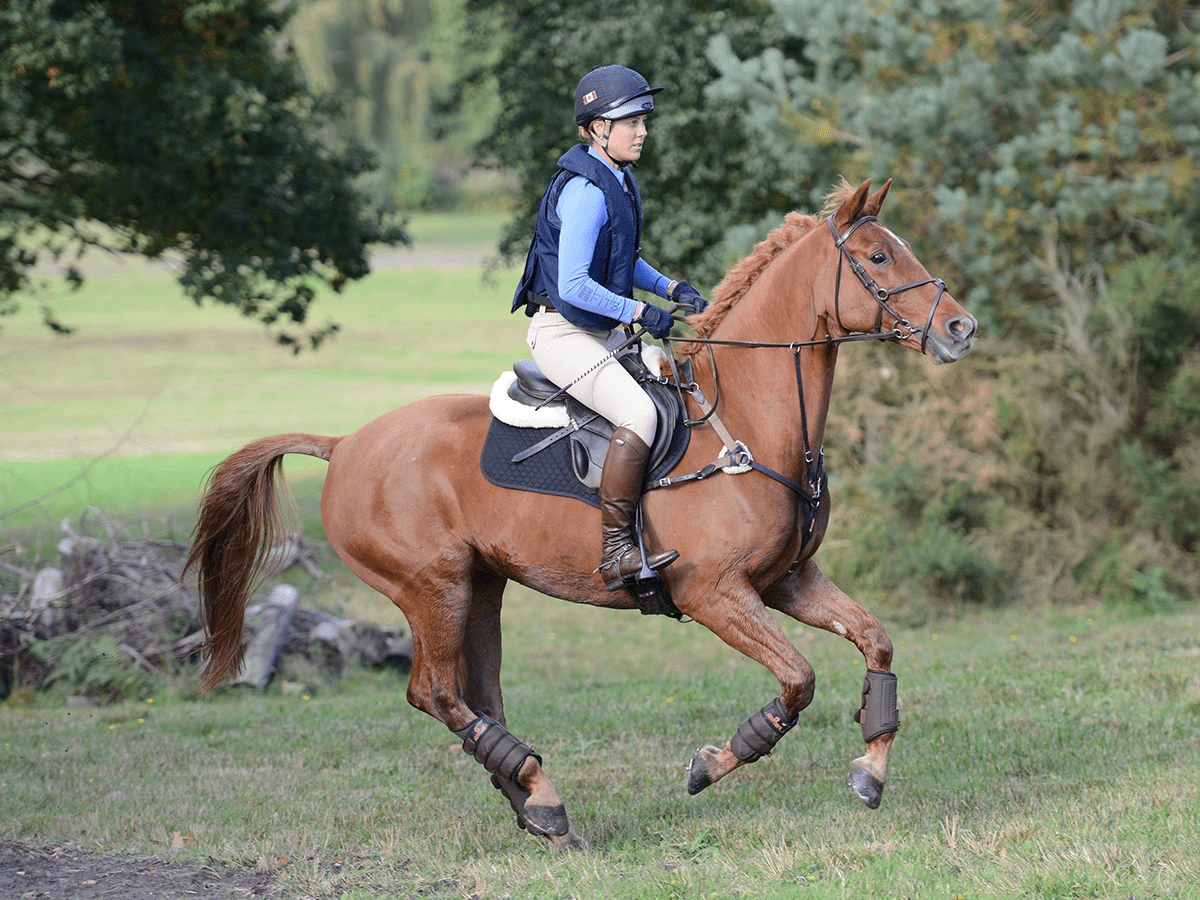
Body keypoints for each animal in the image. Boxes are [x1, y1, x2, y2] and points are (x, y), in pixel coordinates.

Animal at [185, 179, 977, 851]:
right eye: (878, 256)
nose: (962, 329)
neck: (751, 415)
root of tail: (345, 444)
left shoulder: (788, 581)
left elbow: (876, 643)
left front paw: (870, 770)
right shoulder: (715, 593)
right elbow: (798, 679)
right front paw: (713, 763)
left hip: (481, 588)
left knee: (479, 697)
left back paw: (535, 806)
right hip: (431, 587)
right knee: (435, 692)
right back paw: (540, 794)